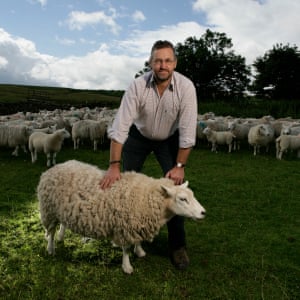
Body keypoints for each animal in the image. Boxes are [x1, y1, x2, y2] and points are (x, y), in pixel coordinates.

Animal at [37, 159, 206, 274]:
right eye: (182, 199)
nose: (203, 212)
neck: (145, 196)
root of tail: (55, 167)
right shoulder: (125, 225)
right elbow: (125, 249)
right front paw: (127, 266)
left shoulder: (136, 223)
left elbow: (137, 241)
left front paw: (140, 251)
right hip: (49, 209)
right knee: (50, 231)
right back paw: (51, 248)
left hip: (63, 208)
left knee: (62, 223)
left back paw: (61, 236)